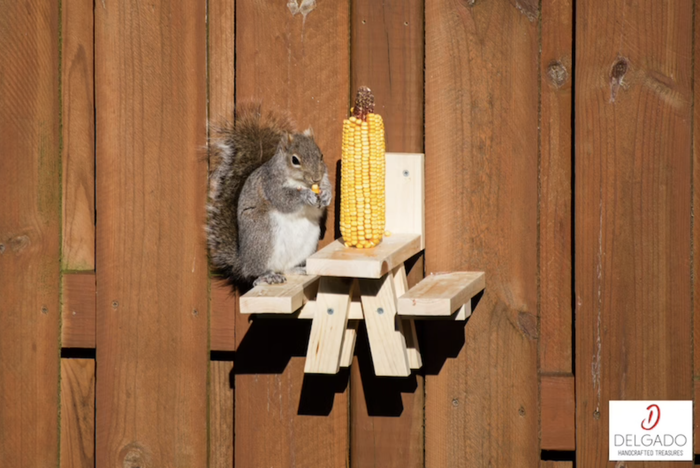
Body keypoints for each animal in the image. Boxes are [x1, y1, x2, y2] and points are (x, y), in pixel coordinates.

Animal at [207, 104, 332, 287]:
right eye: (295, 160)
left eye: (321, 155)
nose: (316, 177)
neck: (301, 182)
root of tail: (243, 262)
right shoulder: (270, 185)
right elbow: (284, 200)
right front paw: (306, 196)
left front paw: (327, 195)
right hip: (264, 237)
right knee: (255, 273)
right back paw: (267, 276)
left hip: (308, 242)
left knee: (286, 268)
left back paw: (297, 269)